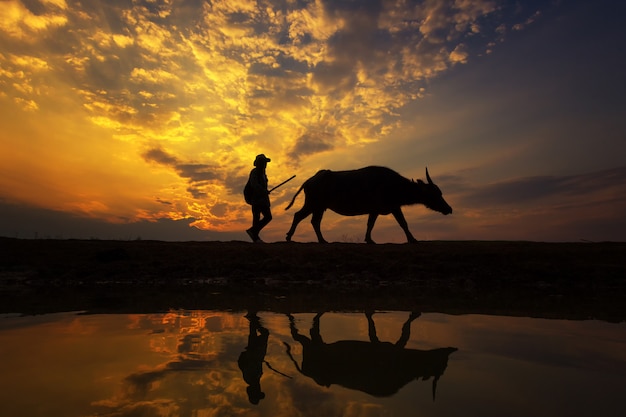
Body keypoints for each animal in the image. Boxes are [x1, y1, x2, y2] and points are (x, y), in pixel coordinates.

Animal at [286, 164, 450, 242]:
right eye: (435, 194)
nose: (449, 209)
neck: (394, 185)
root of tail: (309, 180)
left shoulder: (375, 210)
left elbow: (370, 224)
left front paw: (369, 239)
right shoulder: (393, 207)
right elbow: (403, 223)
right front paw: (413, 239)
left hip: (319, 207)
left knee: (314, 221)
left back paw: (322, 240)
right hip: (313, 204)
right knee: (298, 216)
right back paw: (289, 237)